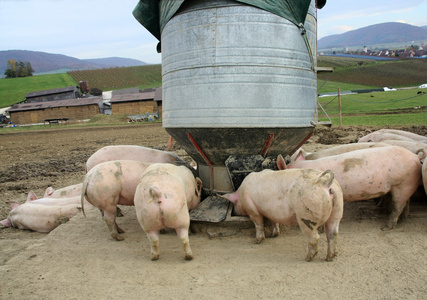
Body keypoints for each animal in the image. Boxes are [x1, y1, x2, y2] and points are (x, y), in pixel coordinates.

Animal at [286, 145, 422, 230]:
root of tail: (415, 156)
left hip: (403, 183)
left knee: (397, 206)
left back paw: (385, 228)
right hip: (404, 185)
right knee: (406, 202)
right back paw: (402, 220)